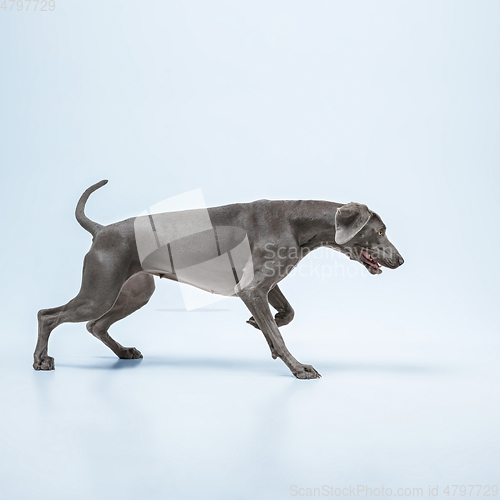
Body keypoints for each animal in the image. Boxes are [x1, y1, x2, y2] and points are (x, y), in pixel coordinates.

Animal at [34, 181, 402, 378]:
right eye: (380, 231)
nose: (400, 260)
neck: (297, 221)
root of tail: (100, 230)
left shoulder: (265, 286)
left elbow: (286, 314)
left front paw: (261, 329)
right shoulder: (252, 290)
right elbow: (279, 333)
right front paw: (298, 367)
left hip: (134, 292)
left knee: (95, 325)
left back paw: (123, 351)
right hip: (100, 289)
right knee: (48, 315)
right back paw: (41, 360)